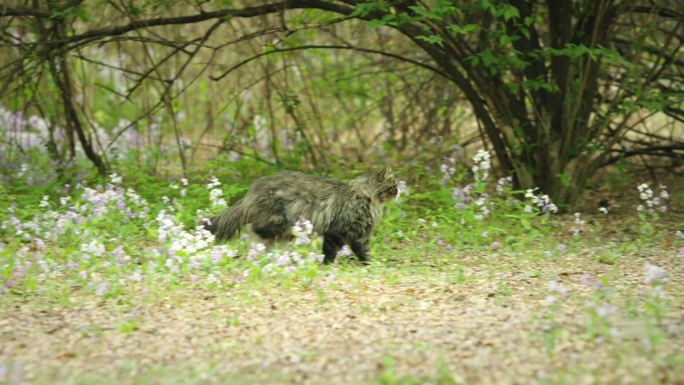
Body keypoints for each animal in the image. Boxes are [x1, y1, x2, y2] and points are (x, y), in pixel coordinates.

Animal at [203, 166, 398, 262]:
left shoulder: (348, 235)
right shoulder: (343, 233)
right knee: (254, 231)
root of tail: (252, 192)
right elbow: (352, 253)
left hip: (284, 232)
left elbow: (344, 252)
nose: (399, 191)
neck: (368, 198)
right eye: (393, 186)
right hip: (278, 223)